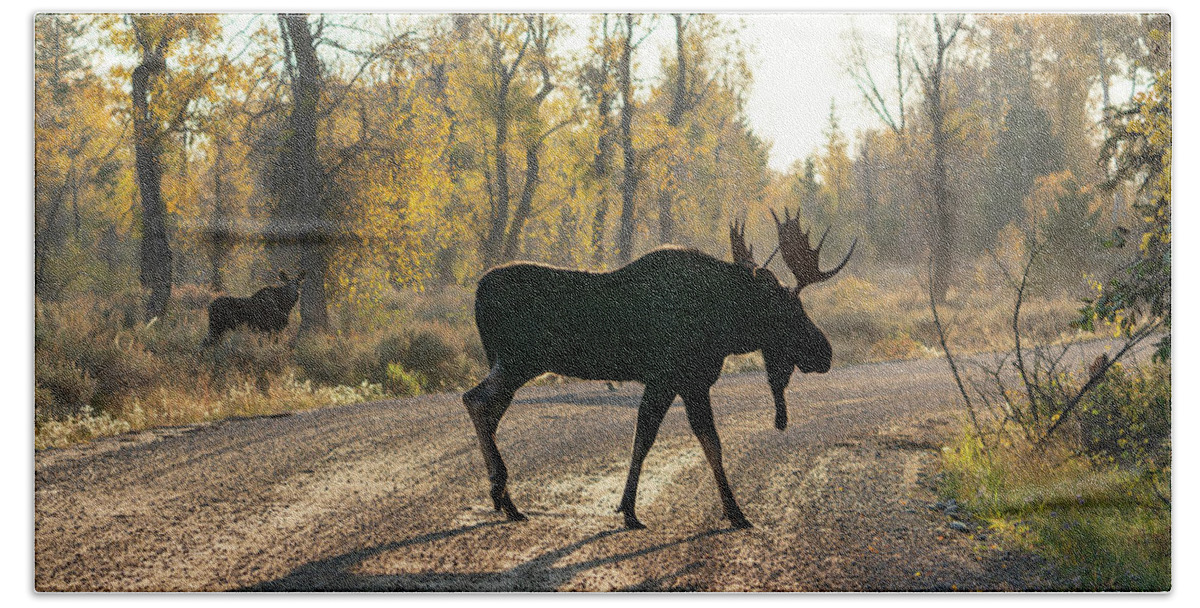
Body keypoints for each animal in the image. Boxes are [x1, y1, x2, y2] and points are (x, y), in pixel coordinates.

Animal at [463, 209, 859, 527]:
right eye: (792, 310)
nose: (825, 352)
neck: (726, 323)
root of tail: (478, 292)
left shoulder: (671, 382)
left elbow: (655, 437)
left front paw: (629, 508)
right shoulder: (683, 379)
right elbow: (701, 442)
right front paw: (733, 511)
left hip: (510, 365)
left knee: (488, 409)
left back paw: (506, 500)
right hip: (518, 362)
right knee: (475, 400)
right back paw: (499, 490)